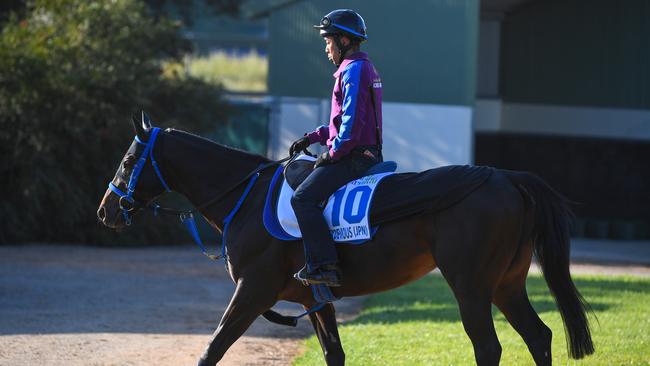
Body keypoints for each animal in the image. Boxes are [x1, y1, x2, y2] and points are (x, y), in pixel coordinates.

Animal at [96, 113, 592, 364]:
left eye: (127, 160)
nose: (105, 210)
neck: (246, 197)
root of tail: (505, 177)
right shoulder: (315, 299)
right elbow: (334, 355)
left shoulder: (253, 291)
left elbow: (212, 349)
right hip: (507, 285)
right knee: (539, 336)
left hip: (471, 287)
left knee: (489, 348)